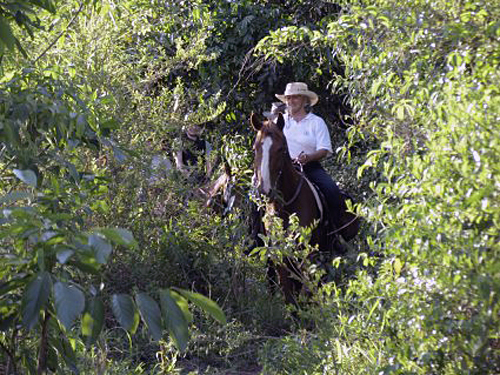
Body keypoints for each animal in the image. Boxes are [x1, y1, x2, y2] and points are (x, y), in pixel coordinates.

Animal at [250, 113, 356, 304]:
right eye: (255, 149)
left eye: (281, 149)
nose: (265, 190)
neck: (284, 207)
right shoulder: (282, 259)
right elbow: (290, 298)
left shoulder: (307, 257)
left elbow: (307, 292)